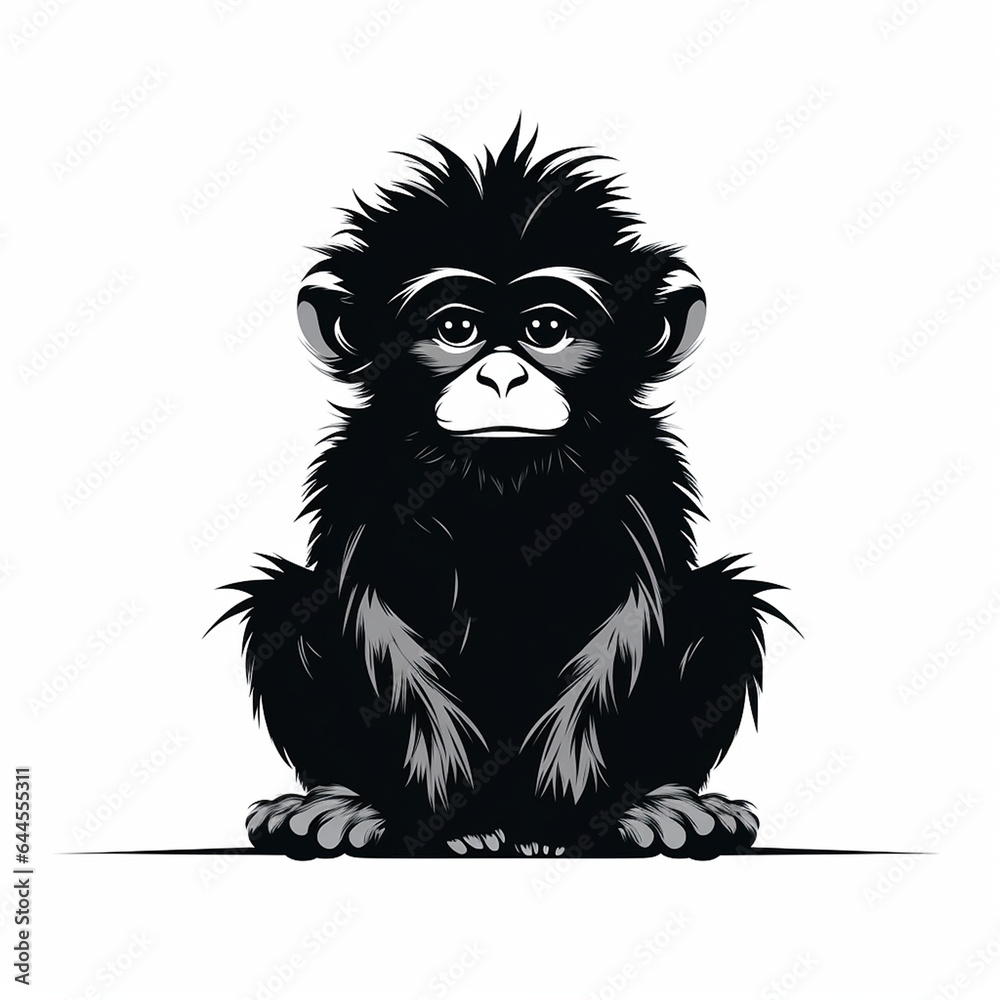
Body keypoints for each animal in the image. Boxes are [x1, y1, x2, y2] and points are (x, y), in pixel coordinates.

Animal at [213, 122, 793, 860]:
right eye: (455, 329)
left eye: (546, 330)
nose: (502, 378)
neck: (501, 476)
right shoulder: (365, 475)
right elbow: (374, 614)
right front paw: (445, 819)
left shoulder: (637, 476)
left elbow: (631, 615)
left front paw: (576, 814)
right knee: (286, 604)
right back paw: (351, 804)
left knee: (719, 606)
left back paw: (651, 803)